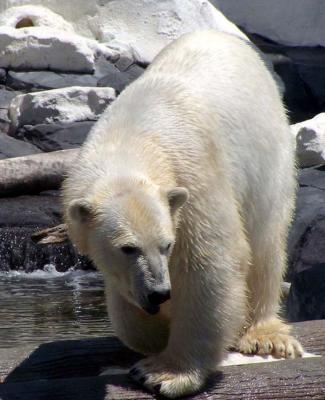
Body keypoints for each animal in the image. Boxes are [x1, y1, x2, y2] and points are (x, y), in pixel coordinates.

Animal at [62, 30, 302, 396]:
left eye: (167, 245)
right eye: (127, 248)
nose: (159, 292)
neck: (132, 136)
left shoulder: (193, 173)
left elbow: (210, 261)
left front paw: (164, 372)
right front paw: (154, 328)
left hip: (269, 156)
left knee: (264, 240)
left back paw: (264, 335)